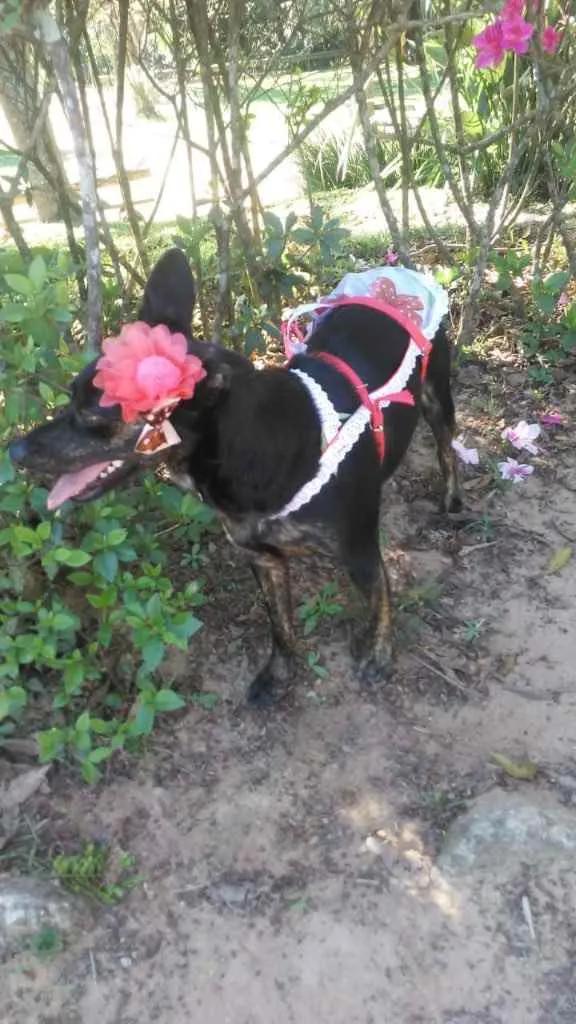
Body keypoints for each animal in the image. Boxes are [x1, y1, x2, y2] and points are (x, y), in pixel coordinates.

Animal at [8, 251, 459, 708]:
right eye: (69, 397)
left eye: (92, 416)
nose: (15, 451)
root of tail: (395, 270)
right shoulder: (264, 560)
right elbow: (279, 624)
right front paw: (279, 674)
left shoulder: (362, 556)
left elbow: (381, 603)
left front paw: (379, 655)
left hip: (436, 396)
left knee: (447, 447)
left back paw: (453, 501)